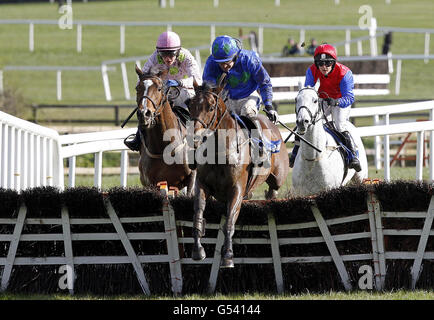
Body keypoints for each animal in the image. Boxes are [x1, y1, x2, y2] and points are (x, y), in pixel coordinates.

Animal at [189, 82, 288, 268]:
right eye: (190, 105)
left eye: (211, 107)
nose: (195, 138)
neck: (219, 151)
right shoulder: (202, 184)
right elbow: (198, 212)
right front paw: (198, 250)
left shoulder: (237, 189)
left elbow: (229, 221)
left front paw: (228, 255)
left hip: (278, 177)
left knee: (273, 189)